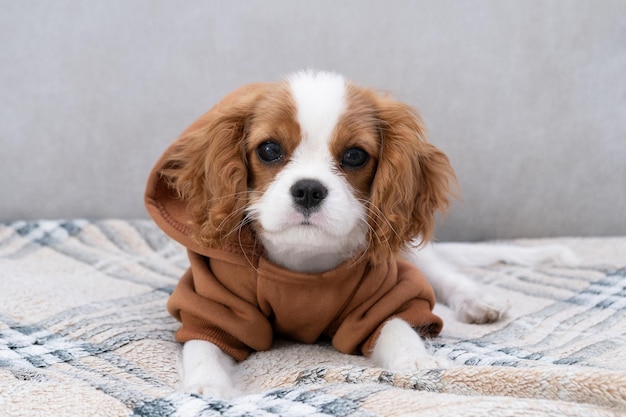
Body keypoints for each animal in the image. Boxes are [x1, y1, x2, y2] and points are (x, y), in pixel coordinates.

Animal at [145, 70, 576, 394]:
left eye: (354, 155)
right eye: (268, 150)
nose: (308, 189)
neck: (304, 267)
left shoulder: (383, 292)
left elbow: (397, 325)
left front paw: (417, 360)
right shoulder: (215, 304)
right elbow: (203, 344)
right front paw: (205, 387)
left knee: (448, 279)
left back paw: (478, 301)